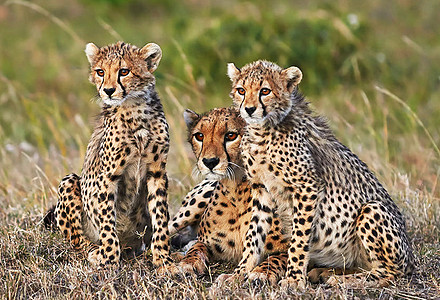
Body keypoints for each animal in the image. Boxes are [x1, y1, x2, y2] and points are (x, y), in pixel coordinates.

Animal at [45, 41, 172, 268]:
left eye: (124, 71)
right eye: (100, 72)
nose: (109, 90)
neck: (134, 109)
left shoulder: (157, 173)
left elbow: (160, 215)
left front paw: (163, 259)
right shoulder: (108, 176)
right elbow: (106, 221)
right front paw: (110, 260)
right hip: (70, 181)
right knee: (76, 239)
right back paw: (95, 251)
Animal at [166, 108, 288, 284]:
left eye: (231, 135)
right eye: (199, 136)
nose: (210, 161)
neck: (237, 190)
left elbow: (277, 257)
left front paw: (261, 273)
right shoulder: (208, 242)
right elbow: (197, 247)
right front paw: (188, 263)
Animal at [223, 59, 416, 288]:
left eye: (265, 91)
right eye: (241, 90)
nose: (249, 109)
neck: (263, 131)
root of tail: (411, 257)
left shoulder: (306, 187)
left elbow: (298, 239)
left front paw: (294, 279)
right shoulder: (262, 189)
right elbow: (254, 234)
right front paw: (239, 273)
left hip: (372, 210)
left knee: (389, 272)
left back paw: (342, 280)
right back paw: (325, 272)